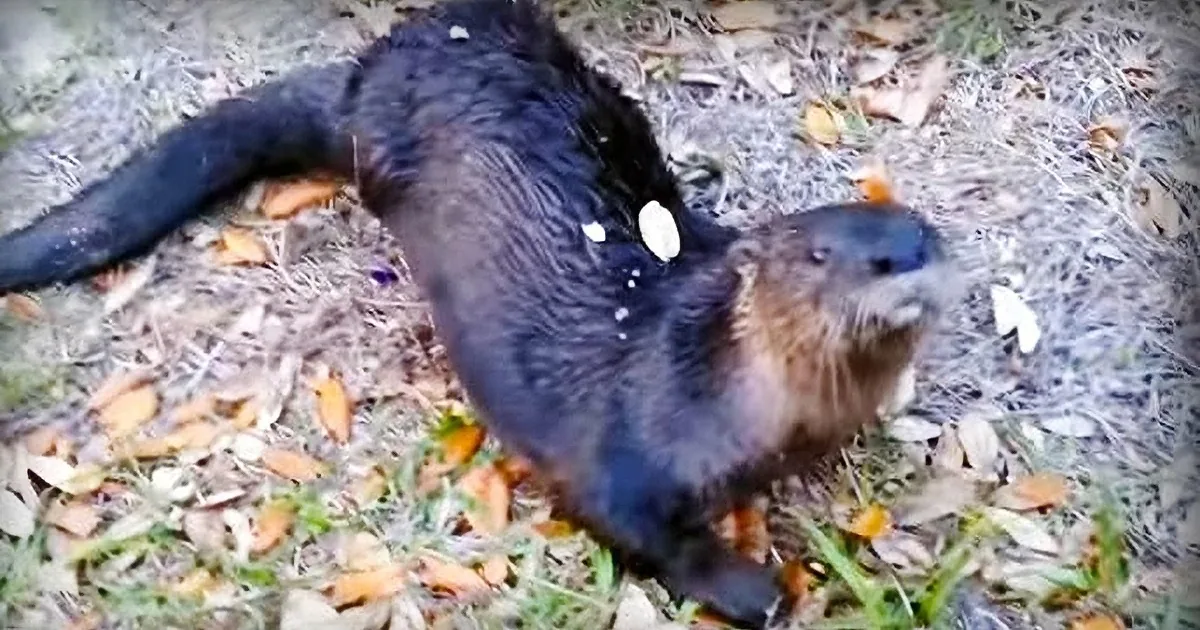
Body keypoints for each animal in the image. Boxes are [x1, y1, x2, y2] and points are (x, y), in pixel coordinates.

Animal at [0, 0, 958, 626]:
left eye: (918, 227)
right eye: (818, 254)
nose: (900, 254)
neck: (727, 399)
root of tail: (370, 73)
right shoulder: (619, 455)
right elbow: (631, 525)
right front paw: (754, 588)